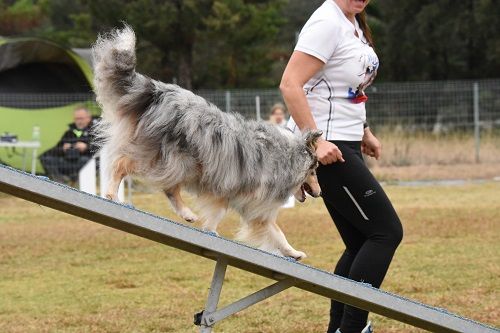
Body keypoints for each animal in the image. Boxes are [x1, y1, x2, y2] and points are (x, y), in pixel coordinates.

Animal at [92, 26, 322, 260]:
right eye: (314, 172)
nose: (320, 193)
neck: (285, 157)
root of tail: (158, 93)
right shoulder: (230, 188)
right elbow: (221, 213)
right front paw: (210, 232)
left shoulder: (253, 206)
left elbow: (276, 233)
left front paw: (294, 253)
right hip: (170, 160)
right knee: (123, 165)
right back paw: (112, 194)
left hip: (180, 165)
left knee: (170, 189)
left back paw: (187, 214)